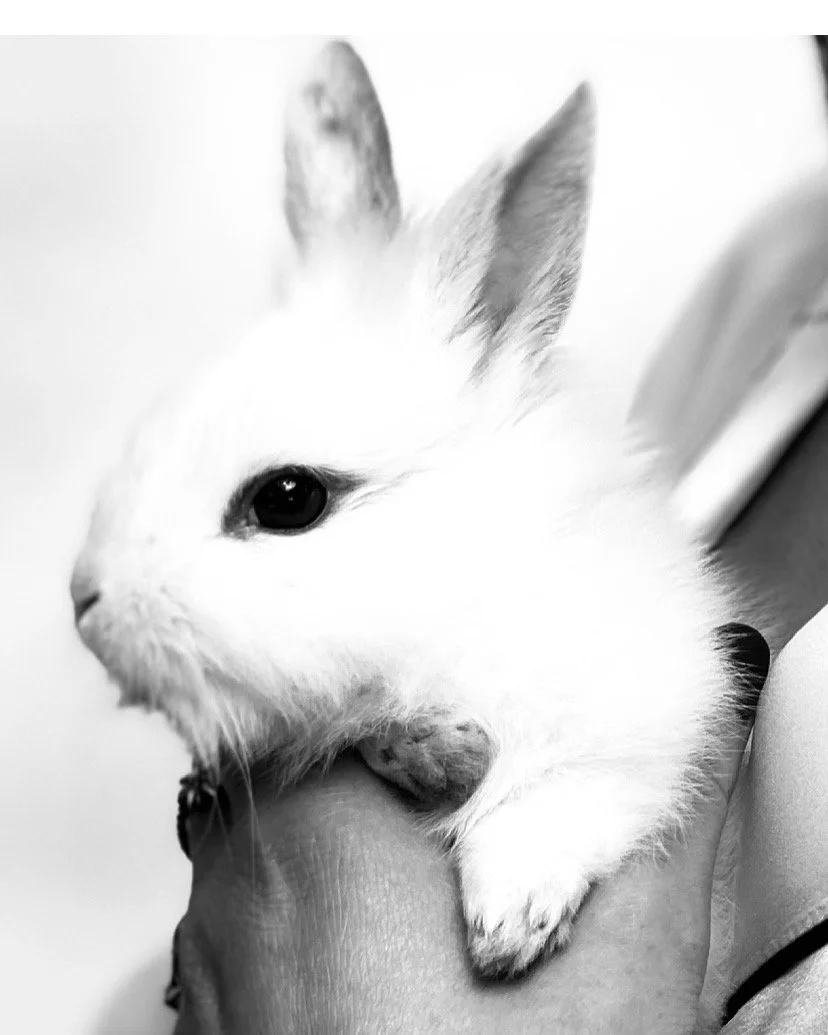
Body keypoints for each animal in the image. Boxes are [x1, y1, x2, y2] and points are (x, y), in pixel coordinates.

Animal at [70, 39, 754, 1001]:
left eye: (288, 498)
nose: (86, 599)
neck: (454, 600)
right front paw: (431, 754)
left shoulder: (655, 701)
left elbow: (567, 794)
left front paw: (509, 919)